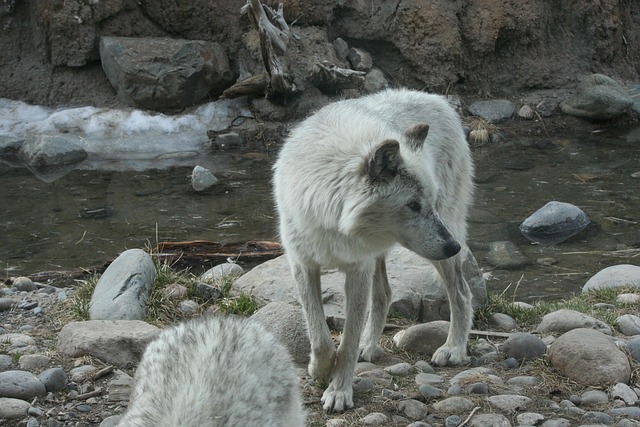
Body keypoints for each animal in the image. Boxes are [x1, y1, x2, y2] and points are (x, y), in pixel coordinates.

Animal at [272, 88, 475, 413]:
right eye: (412, 205)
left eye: (428, 203)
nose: (453, 246)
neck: (333, 217)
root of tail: (437, 98)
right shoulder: (302, 264)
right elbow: (320, 336)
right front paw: (320, 370)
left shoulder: (358, 269)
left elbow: (347, 340)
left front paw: (339, 390)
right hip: (384, 255)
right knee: (384, 294)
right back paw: (370, 345)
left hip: (436, 247)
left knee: (461, 293)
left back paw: (453, 348)